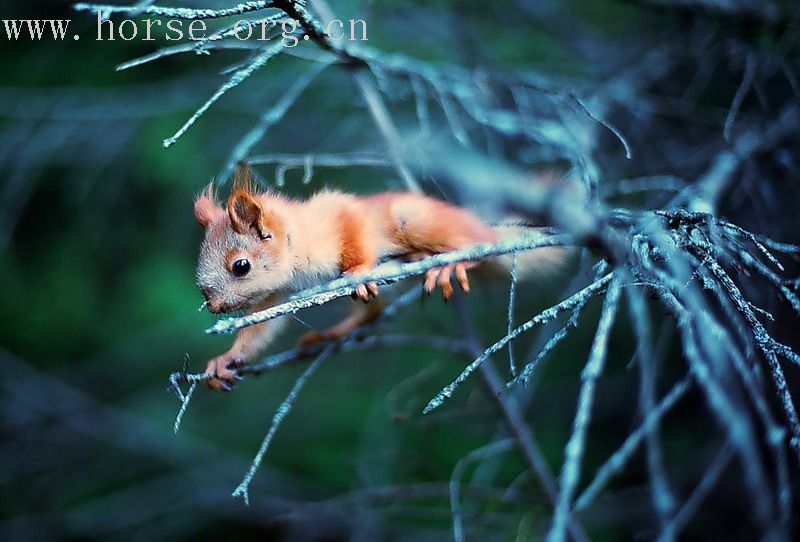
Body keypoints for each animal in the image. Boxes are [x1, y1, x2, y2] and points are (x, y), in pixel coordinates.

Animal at [196, 174, 564, 392]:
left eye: (241, 266)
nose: (214, 307)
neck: (294, 241)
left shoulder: (338, 217)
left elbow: (354, 233)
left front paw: (359, 270)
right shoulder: (277, 295)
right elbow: (263, 328)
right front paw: (226, 359)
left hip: (416, 219)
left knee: (481, 245)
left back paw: (454, 261)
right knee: (372, 313)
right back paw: (332, 334)